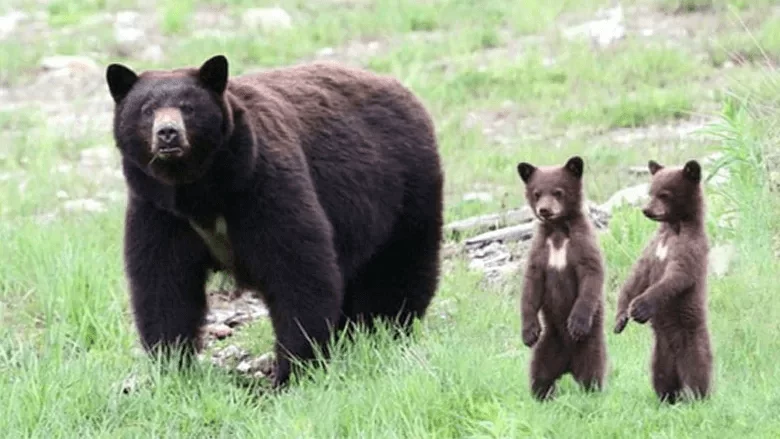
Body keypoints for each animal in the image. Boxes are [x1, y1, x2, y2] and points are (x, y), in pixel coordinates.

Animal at [105, 55, 444, 388]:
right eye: (147, 109)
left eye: (188, 107)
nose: (167, 133)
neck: (199, 190)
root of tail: (403, 90)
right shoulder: (159, 211)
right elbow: (163, 283)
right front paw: (174, 366)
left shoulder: (262, 185)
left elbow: (297, 270)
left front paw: (292, 372)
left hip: (404, 188)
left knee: (398, 266)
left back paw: (386, 331)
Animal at [516, 156, 608, 400]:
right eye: (537, 193)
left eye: (558, 191)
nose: (544, 210)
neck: (558, 231)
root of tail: (568, 366)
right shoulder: (540, 250)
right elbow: (531, 285)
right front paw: (529, 332)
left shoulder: (582, 245)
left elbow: (591, 276)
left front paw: (576, 322)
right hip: (548, 345)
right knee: (539, 373)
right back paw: (542, 395)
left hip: (591, 346)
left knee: (591, 372)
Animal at [616, 160, 712, 404]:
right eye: (650, 192)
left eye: (664, 194)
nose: (646, 210)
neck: (672, 228)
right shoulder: (653, 248)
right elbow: (636, 276)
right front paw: (620, 318)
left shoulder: (689, 248)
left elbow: (676, 277)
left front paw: (639, 307)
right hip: (659, 355)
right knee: (661, 377)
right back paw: (667, 399)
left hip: (692, 339)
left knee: (698, 370)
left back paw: (698, 398)